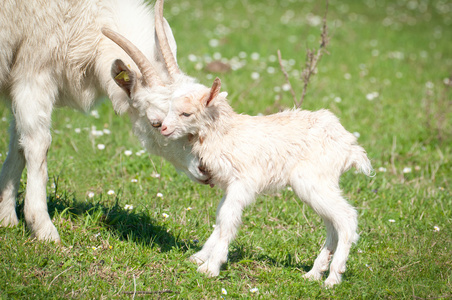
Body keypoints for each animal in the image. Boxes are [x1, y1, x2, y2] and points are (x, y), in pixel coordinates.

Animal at [0, 0, 208, 243]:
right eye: (156, 123)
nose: (205, 168)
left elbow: (18, 144)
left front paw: (6, 217)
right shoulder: (33, 71)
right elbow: (37, 144)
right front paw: (43, 229)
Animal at [161, 77, 372, 286]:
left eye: (186, 113)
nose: (163, 128)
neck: (225, 135)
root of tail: (350, 149)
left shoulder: (242, 182)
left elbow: (228, 218)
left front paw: (211, 267)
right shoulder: (230, 185)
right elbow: (221, 217)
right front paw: (201, 257)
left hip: (314, 179)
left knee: (346, 217)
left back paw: (333, 277)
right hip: (321, 183)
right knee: (332, 224)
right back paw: (314, 273)